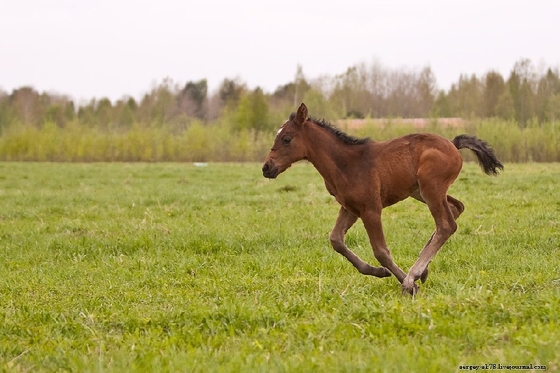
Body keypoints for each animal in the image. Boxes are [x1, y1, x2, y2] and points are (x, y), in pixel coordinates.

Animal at [262, 102, 504, 294]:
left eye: (286, 139)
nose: (267, 168)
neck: (346, 163)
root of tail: (453, 144)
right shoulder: (350, 207)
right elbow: (336, 240)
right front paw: (377, 272)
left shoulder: (371, 209)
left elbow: (381, 251)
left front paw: (408, 284)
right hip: (421, 191)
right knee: (456, 208)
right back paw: (423, 271)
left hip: (431, 188)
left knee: (446, 224)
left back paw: (413, 275)